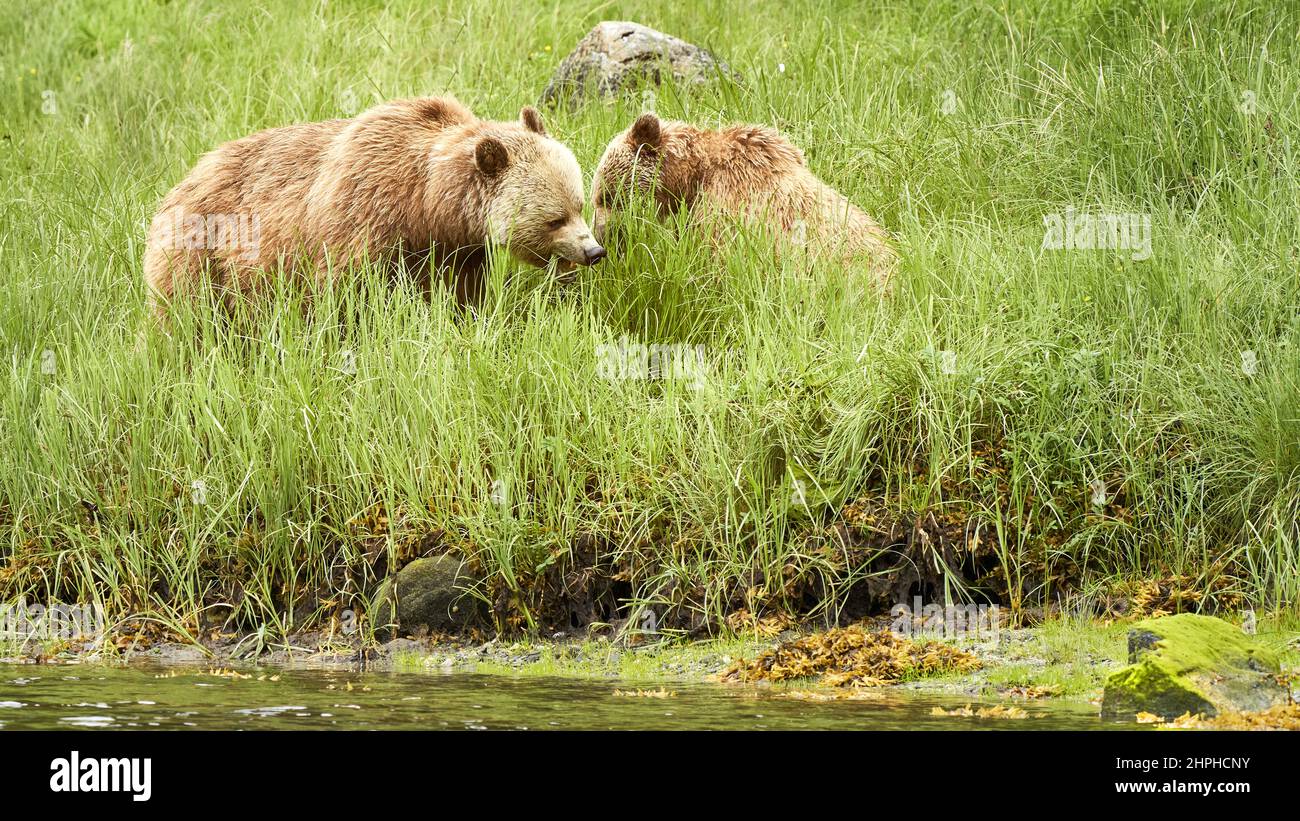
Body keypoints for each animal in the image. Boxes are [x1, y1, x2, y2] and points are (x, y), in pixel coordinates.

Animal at [144, 96, 605, 314]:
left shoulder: (456, 249)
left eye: (580, 203)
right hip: (203, 252)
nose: (594, 251)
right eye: (555, 219)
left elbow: (461, 293)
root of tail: (183, 180)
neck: (426, 203)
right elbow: (342, 291)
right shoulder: (363, 215)